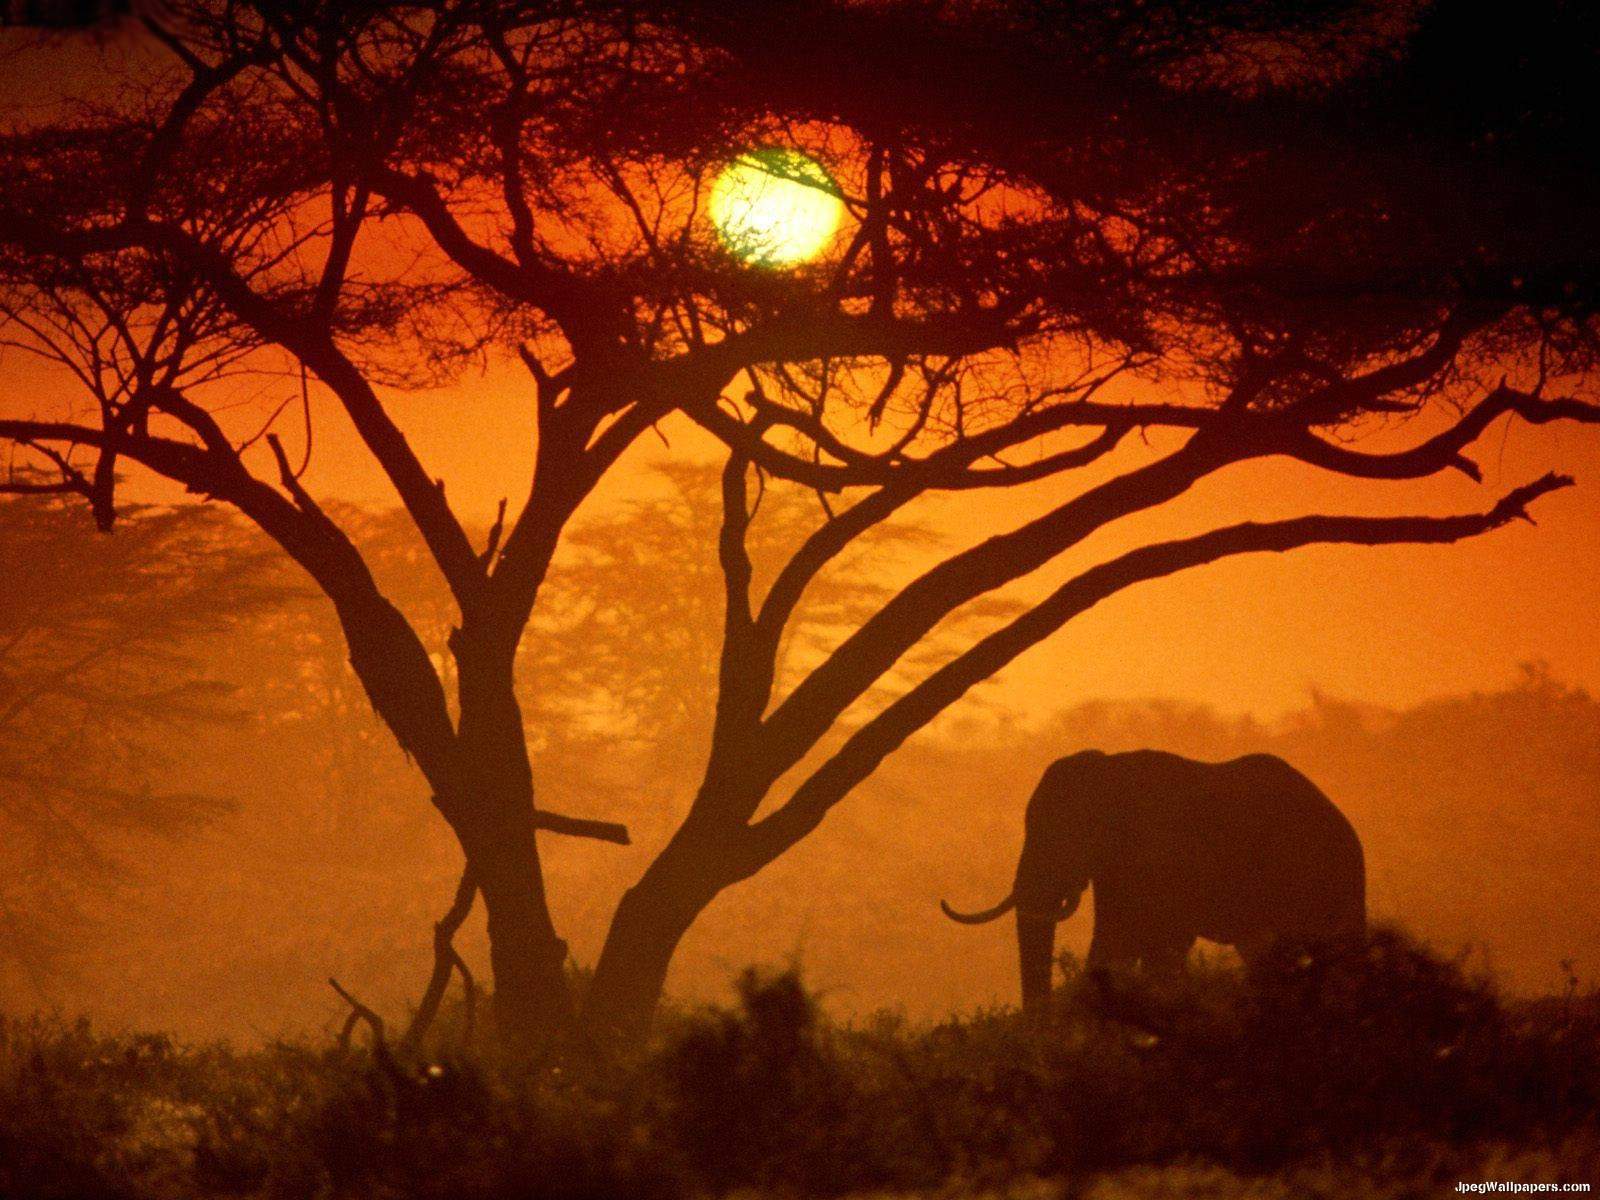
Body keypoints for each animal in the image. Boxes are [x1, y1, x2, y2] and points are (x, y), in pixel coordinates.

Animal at [941, 749, 1365, 1021]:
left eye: (1062, 835)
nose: (1036, 1023)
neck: (1110, 768)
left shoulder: (1163, 858)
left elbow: (1152, 942)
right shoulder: (1116, 868)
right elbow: (1115, 941)